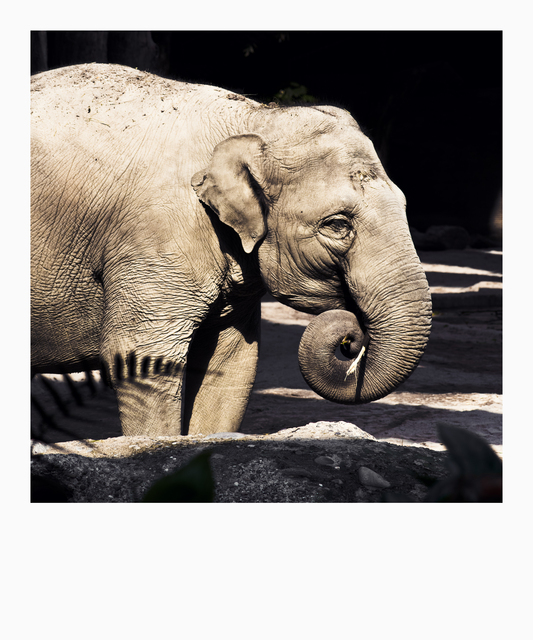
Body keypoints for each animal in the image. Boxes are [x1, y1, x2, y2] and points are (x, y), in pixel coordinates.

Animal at [31, 63, 432, 438]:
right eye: (337, 225)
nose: (351, 337)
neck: (255, 118)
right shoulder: (155, 236)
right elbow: (143, 357)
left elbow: (233, 361)